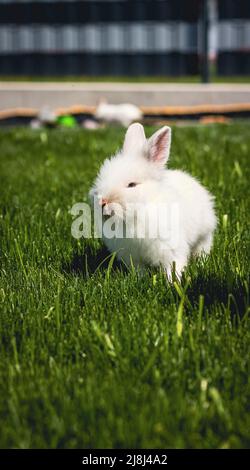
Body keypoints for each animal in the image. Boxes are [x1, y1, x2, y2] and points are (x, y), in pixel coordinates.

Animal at [90, 124, 217, 280]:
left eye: (131, 185)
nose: (103, 202)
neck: (138, 214)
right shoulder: (132, 257)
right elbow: (139, 270)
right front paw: (140, 279)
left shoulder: (171, 248)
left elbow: (173, 266)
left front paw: (173, 281)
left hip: (204, 235)